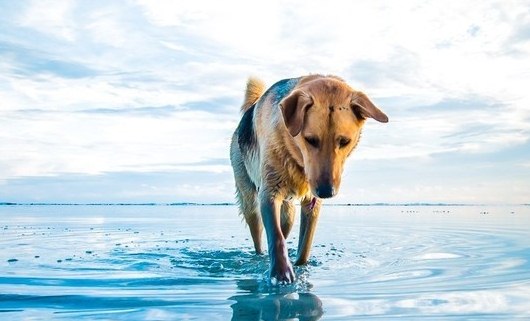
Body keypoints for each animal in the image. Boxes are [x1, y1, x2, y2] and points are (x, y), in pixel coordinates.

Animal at [229, 74, 386, 282]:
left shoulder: (312, 204)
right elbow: (276, 238)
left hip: (288, 213)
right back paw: (260, 257)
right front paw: (281, 272)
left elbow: (304, 245)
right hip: (250, 204)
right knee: (259, 236)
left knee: (284, 227)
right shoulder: (269, 194)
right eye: (310, 140)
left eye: (344, 142)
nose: (327, 192)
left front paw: (300, 267)